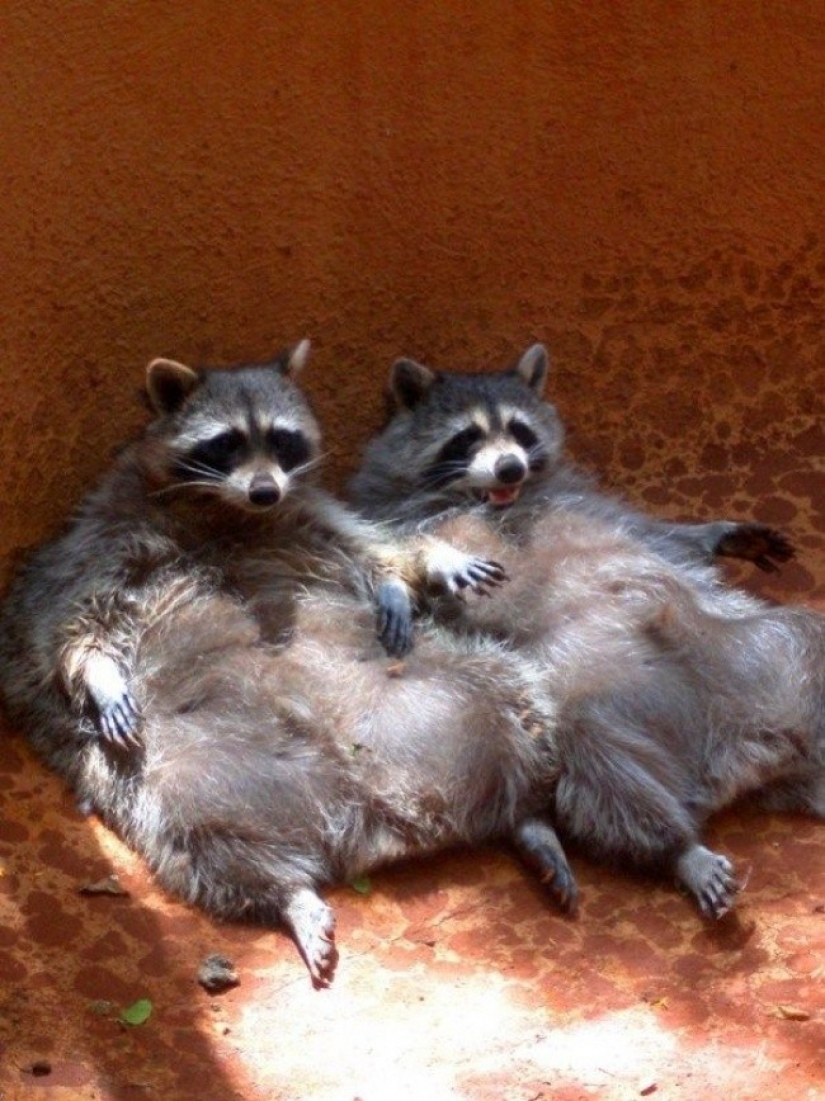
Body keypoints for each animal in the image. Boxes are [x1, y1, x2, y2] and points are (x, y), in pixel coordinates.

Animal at [0, 343, 572, 985]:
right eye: (226, 443)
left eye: (282, 439)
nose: (265, 490)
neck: (226, 509)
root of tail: (373, 814)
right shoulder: (98, 538)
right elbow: (69, 625)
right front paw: (98, 675)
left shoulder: (313, 510)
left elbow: (376, 544)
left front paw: (424, 564)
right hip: (169, 781)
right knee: (201, 843)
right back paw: (286, 894)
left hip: (465, 672)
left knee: (522, 699)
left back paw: (530, 811)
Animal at [351, 344, 825, 918]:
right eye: (468, 436)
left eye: (519, 429)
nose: (510, 465)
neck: (490, 498)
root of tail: (730, 756)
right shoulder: (387, 513)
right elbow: (390, 555)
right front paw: (424, 570)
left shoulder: (589, 501)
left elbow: (665, 538)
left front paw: (712, 532)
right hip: (591, 718)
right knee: (612, 785)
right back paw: (677, 848)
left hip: (759, 643)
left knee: (807, 633)